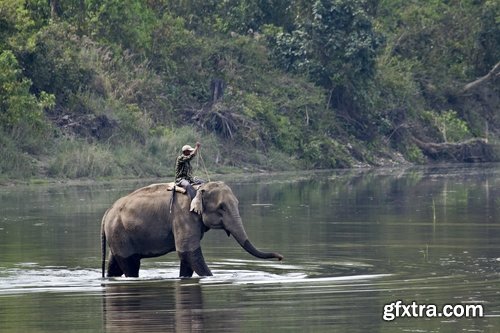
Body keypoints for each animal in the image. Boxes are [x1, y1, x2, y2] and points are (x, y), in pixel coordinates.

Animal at [99, 180, 284, 276]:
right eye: (222, 207)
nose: (281, 257)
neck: (198, 188)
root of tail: (106, 213)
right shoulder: (183, 216)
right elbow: (188, 252)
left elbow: (187, 257)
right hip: (119, 233)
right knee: (131, 264)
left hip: (117, 236)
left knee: (115, 264)